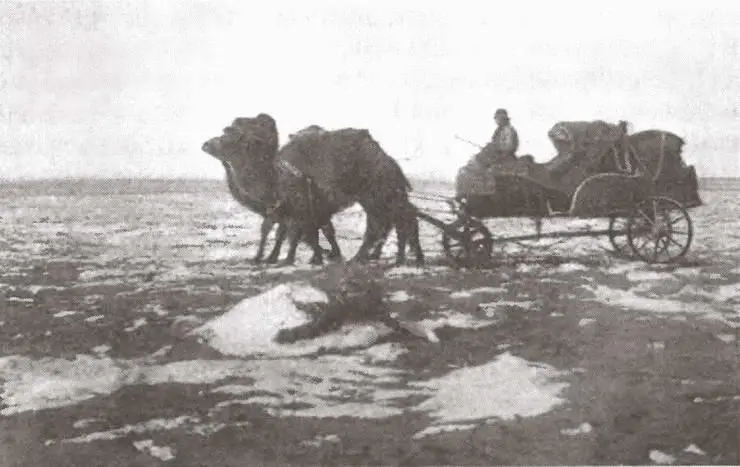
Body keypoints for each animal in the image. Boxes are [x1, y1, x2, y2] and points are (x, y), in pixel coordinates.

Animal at [204, 113, 422, 266]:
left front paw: (299, 258)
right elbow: (305, 232)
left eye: (229, 135)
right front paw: (278, 257)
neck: (275, 177)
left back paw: (367, 258)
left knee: (384, 224)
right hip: (379, 196)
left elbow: (299, 232)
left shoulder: (304, 206)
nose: (206, 144)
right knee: (391, 221)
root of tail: (390, 162)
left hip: (375, 193)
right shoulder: (303, 209)